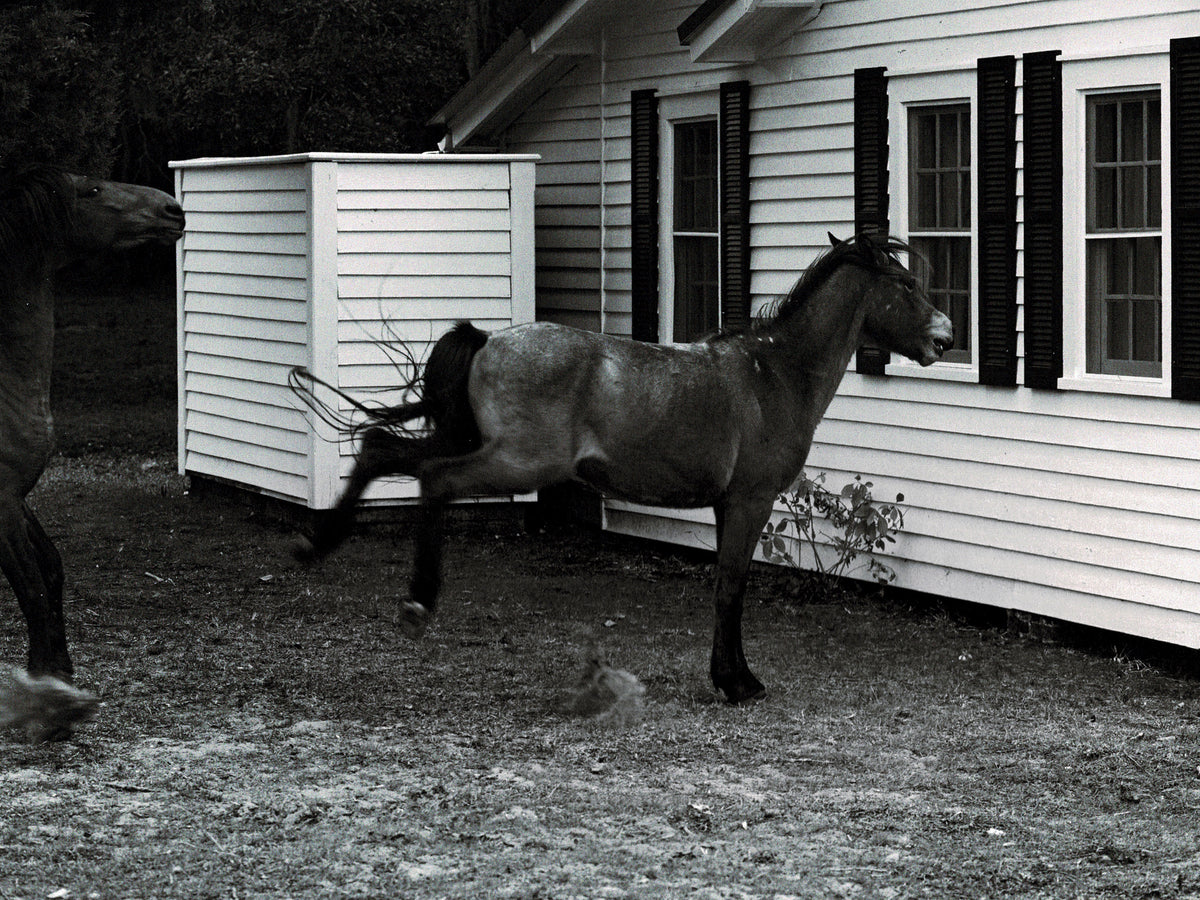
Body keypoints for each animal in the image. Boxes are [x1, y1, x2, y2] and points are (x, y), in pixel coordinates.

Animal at [0, 164, 184, 738]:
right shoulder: (0, 505)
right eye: (94, 190)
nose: (173, 209)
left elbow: (53, 572)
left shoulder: (20, 497)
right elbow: (32, 589)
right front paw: (51, 705)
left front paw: (57, 675)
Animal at [292, 231, 952, 705]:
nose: (944, 336)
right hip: (518, 462)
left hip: (481, 444)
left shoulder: (728, 505)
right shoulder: (749, 501)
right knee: (436, 479)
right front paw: (738, 683)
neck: (775, 375)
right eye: (904, 283)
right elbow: (732, 588)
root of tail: (488, 341)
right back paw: (417, 602)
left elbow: (726, 587)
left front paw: (732, 676)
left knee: (380, 447)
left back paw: (317, 545)